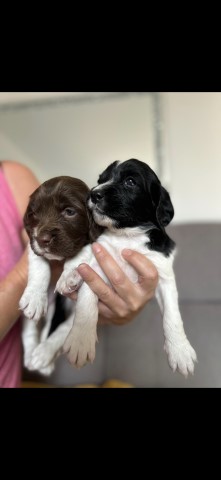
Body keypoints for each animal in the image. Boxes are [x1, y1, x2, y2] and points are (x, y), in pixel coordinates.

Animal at [19, 176, 102, 376]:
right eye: (33, 214)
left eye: (69, 211)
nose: (43, 239)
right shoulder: (32, 243)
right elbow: (39, 264)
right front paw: (34, 297)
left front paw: (69, 275)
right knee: (29, 328)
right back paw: (31, 354)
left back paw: (42, 356)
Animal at [56, 159, 197, 376]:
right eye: (101, 180)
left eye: (130, 182)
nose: (93, 193)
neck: (126, 235)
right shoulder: (97, 264)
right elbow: (86, 306)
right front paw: (81, 341)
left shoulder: (163, 273)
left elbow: (172, 315)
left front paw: (180, 351)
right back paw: (69, 277)